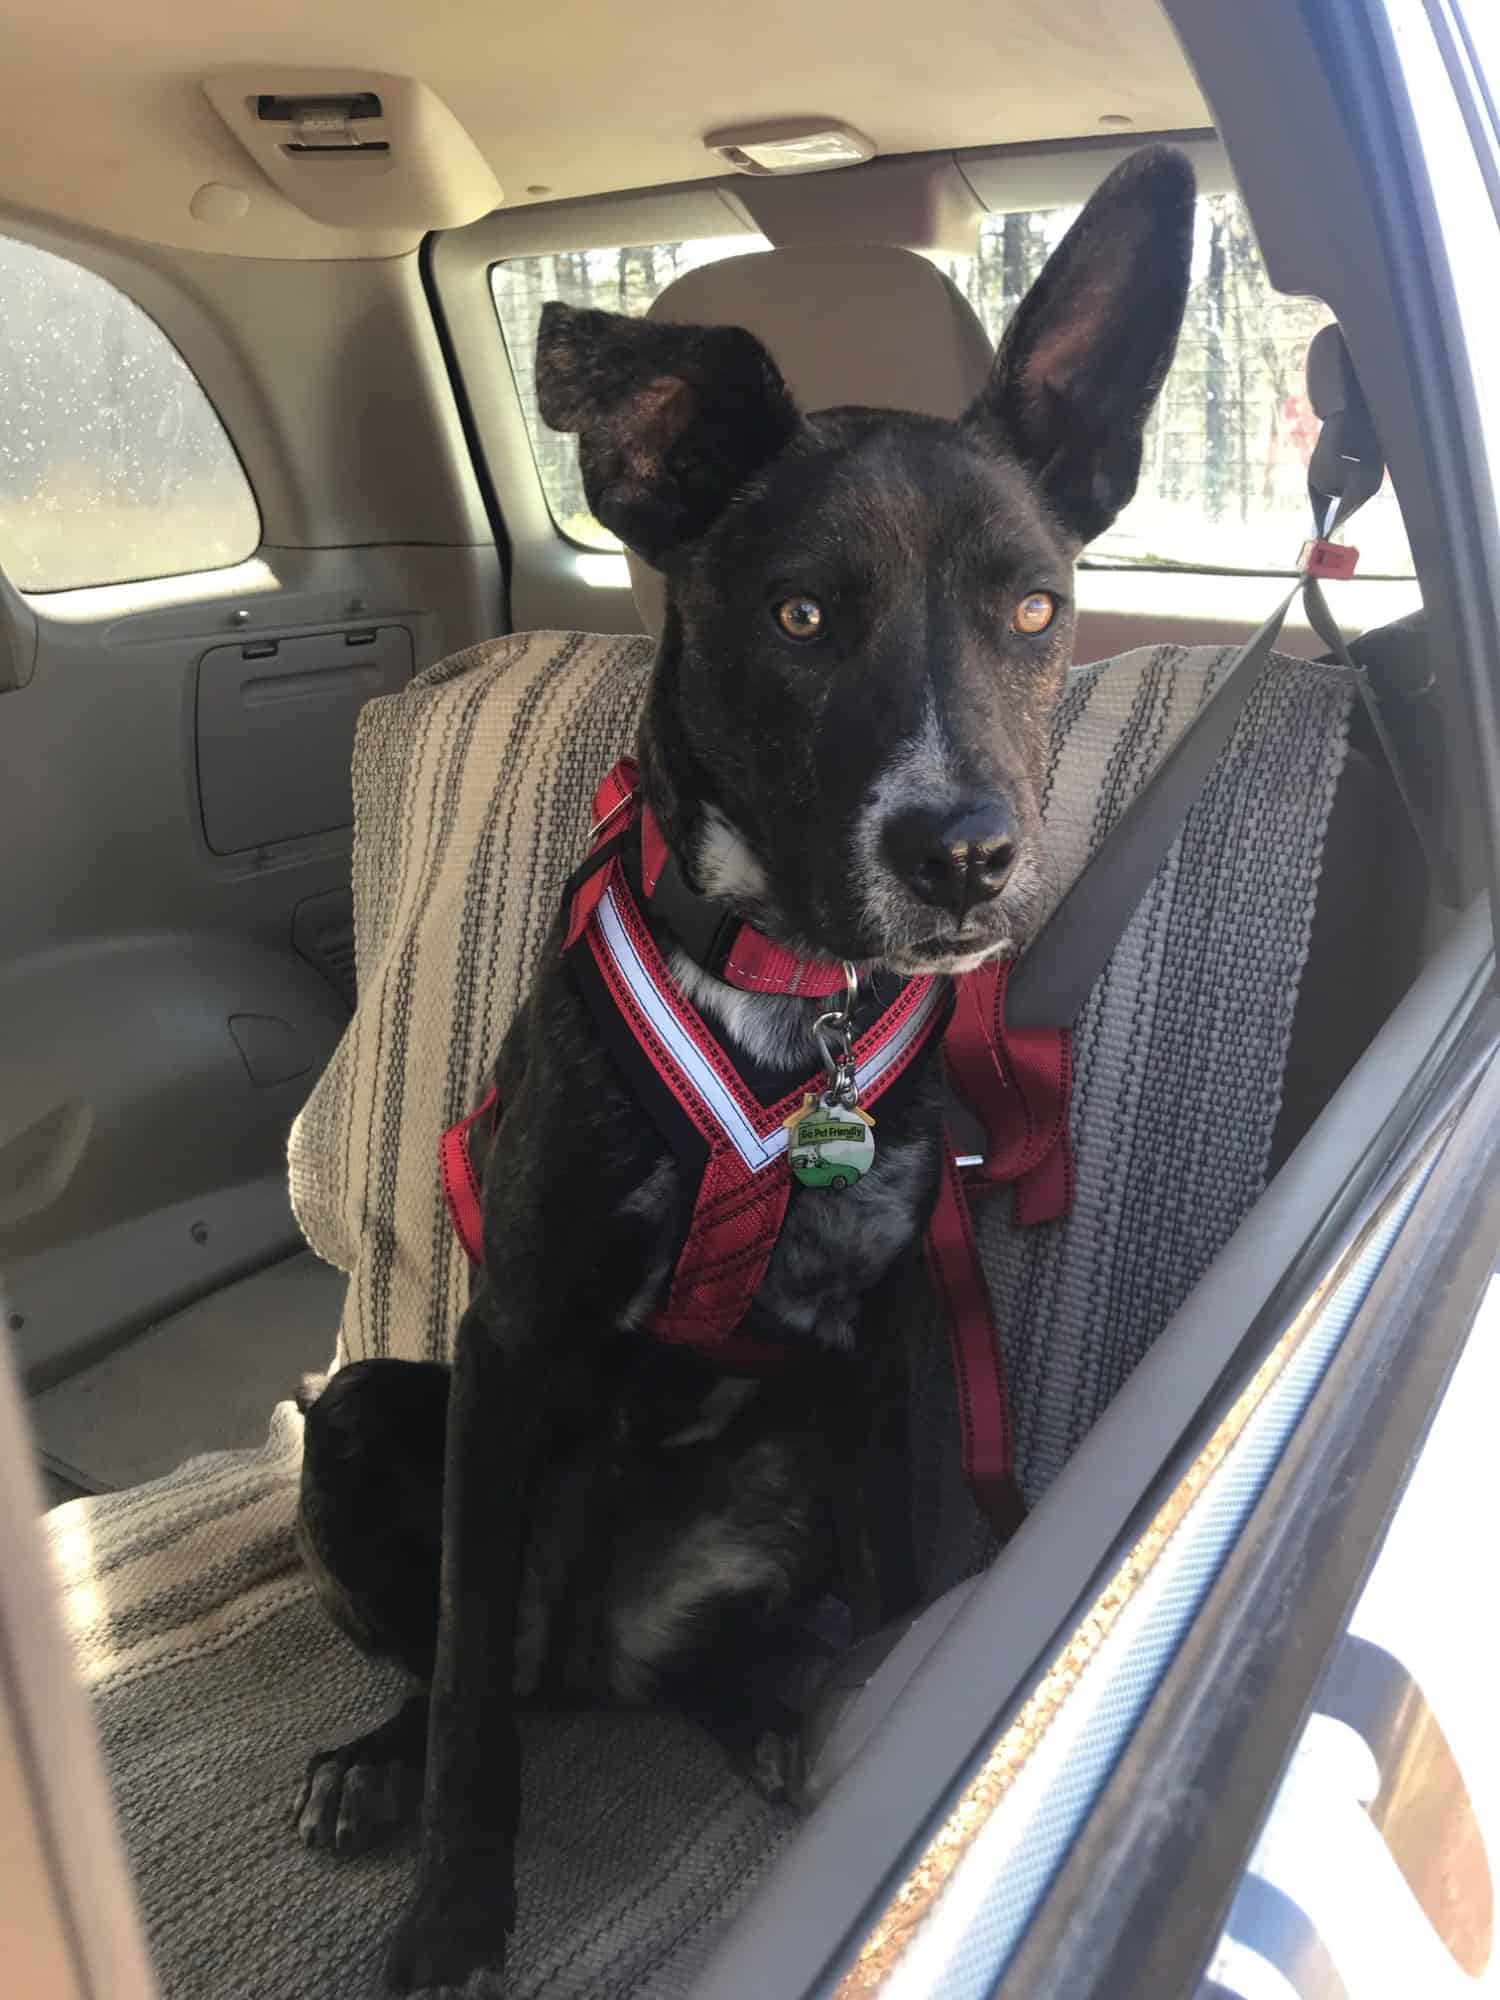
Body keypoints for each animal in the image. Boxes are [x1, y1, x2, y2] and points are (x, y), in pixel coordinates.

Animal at [294, 145, 1192, 2000]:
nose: (966, 857)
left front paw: (871, 1701)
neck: (791, 1006)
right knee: (479, 1661)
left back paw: (765, 1708)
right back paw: (381, 1762)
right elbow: (470, 1697)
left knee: (703, 1652)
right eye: (798, 614)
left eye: (1035, 607)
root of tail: (596, 1637)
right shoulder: (512, 1344)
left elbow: (896, 1570)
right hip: (372, 1422)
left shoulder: (883, 1336)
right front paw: (451, 1915)